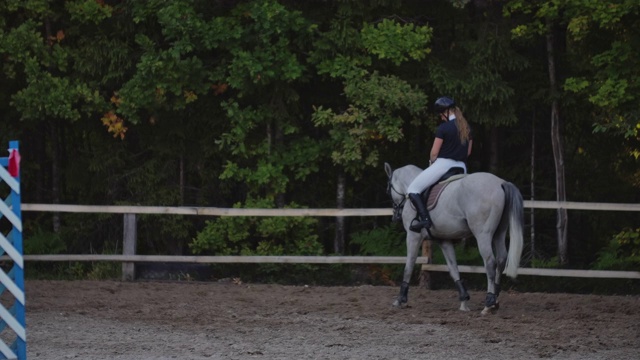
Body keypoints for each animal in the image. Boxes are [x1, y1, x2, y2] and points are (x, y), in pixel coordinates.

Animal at [382, 163, 524, 316]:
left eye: (388, 189)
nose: (395, 217)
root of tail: (500, 183)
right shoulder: (444, 240)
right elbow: (453, 268)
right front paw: (464, 301)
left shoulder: (413, 236)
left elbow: (408, 267)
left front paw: (400, 299)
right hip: (499, 232)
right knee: (501, 259)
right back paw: (495, 301)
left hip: (483, 234)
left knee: (490, 263)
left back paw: (488, 304)